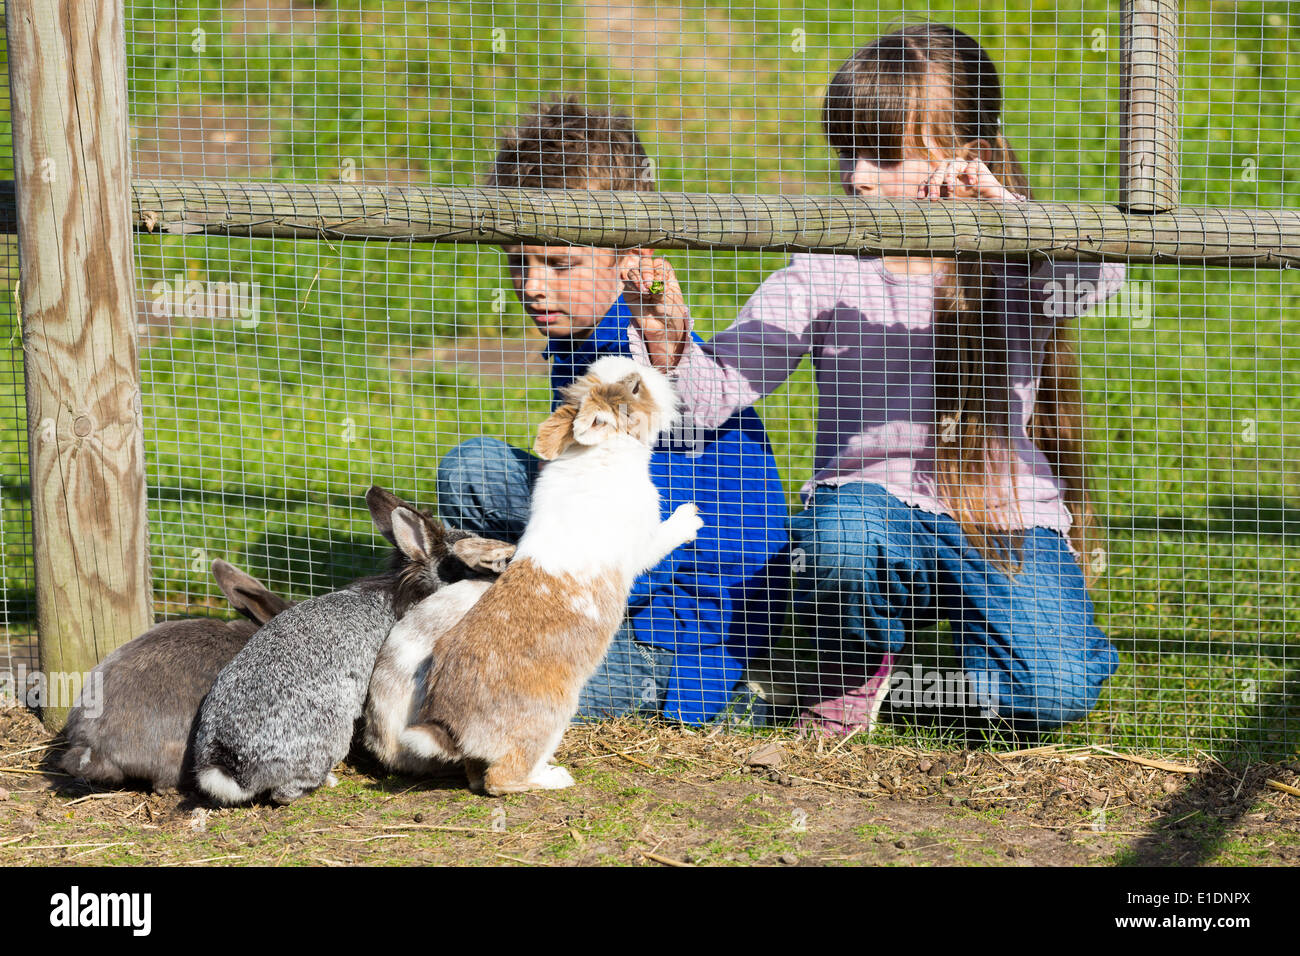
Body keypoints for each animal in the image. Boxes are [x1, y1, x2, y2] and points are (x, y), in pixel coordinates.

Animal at [400, 356, 707, 796]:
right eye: (634, 389)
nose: (648, 369)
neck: (604, 451)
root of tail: (451, 727)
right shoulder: (641, 547)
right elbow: (662, 541)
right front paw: (690, 518)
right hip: (550, 719)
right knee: (501, 779)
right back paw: (555, 777)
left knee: (477, 774)